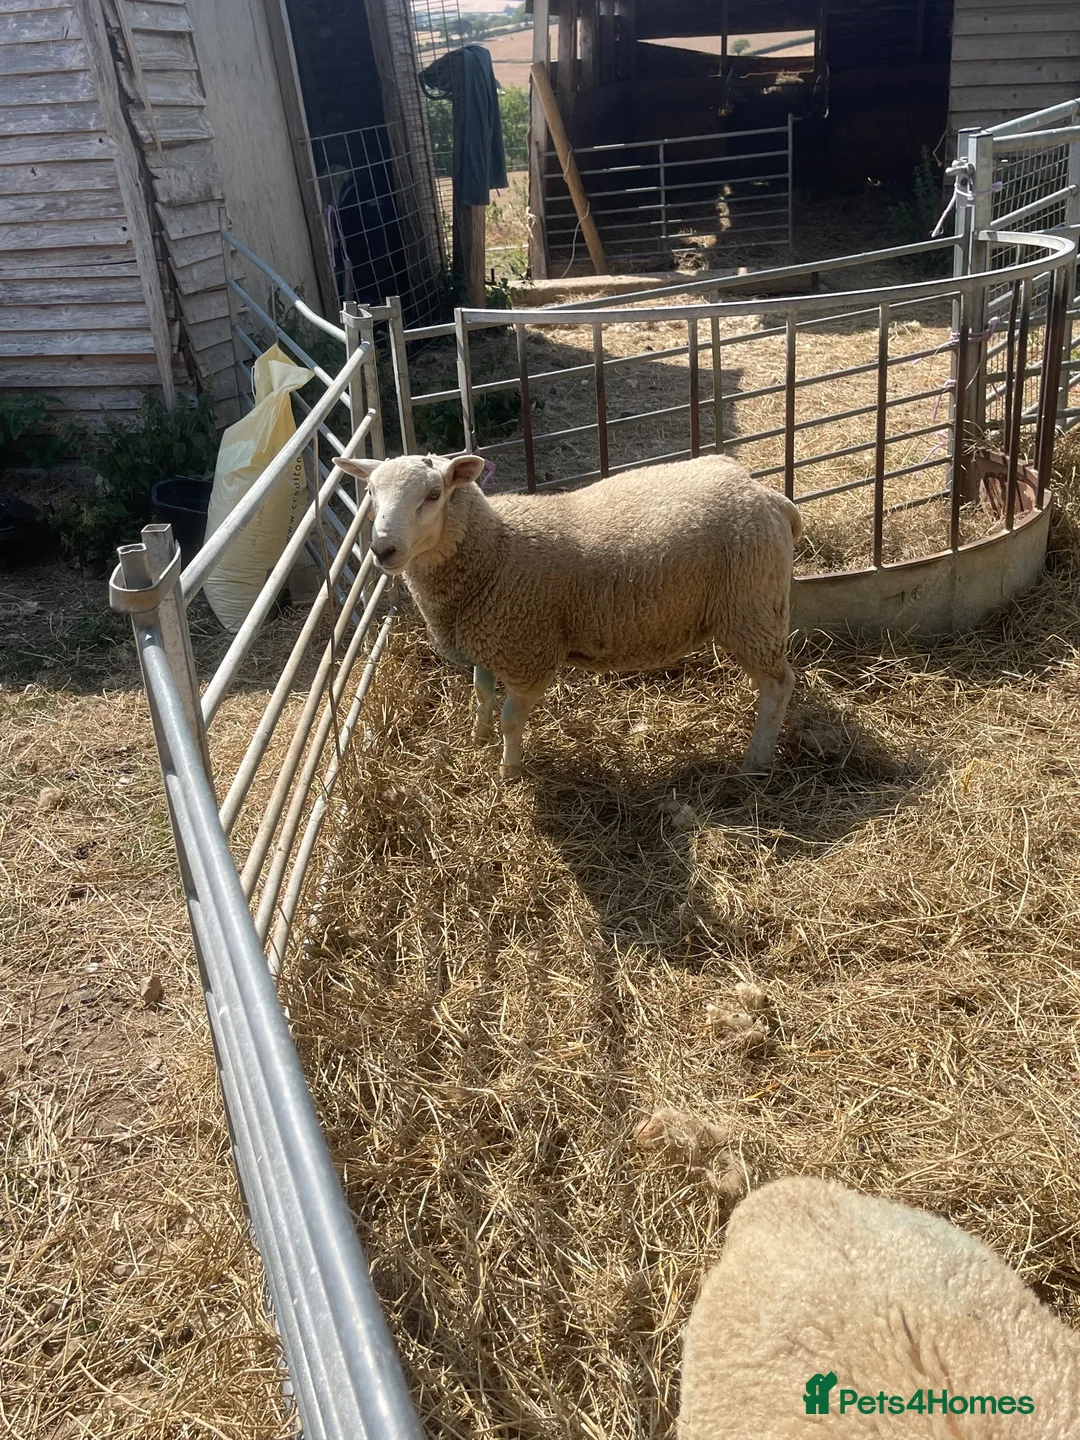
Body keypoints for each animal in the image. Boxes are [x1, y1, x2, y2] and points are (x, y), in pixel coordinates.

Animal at [335, 452, 803, 779]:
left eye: (433, 495)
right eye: (371, 493)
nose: (383, 550)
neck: (495, 550)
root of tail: (769, 496)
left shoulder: (527, 654)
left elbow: (510, 720)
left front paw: (508, 770)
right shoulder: (488, 641)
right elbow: (482, 694)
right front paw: (477, 738)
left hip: (751, 607)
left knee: (778, 684)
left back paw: (755, 761)